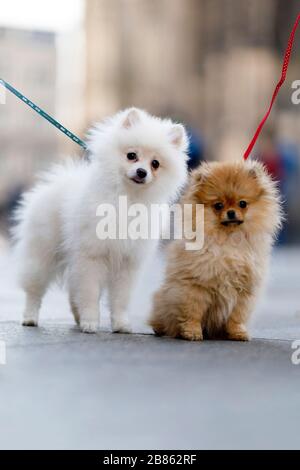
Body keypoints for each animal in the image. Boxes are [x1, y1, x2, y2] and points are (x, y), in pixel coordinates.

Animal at [13, 108, 190, 332]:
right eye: (132, 155)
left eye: (155, 164)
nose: (142, 172)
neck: (128, 199)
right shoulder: (91, 256)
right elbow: (90, 293)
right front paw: (90, 322)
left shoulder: (128, 262)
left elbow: (121, 299)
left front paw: (121, 324)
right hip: (42, 254)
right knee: (34, 290)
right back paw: (30, 317)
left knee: (73, 290)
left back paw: (77, 316)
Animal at [150, 159, 284, 342]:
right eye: (218, 205)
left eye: (242, 203)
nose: (231, 212)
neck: (229, 239)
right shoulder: (196, 285)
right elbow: (193, 312)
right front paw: (192, 332)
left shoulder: (244, 291)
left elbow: (236, 316)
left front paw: (237, 333)